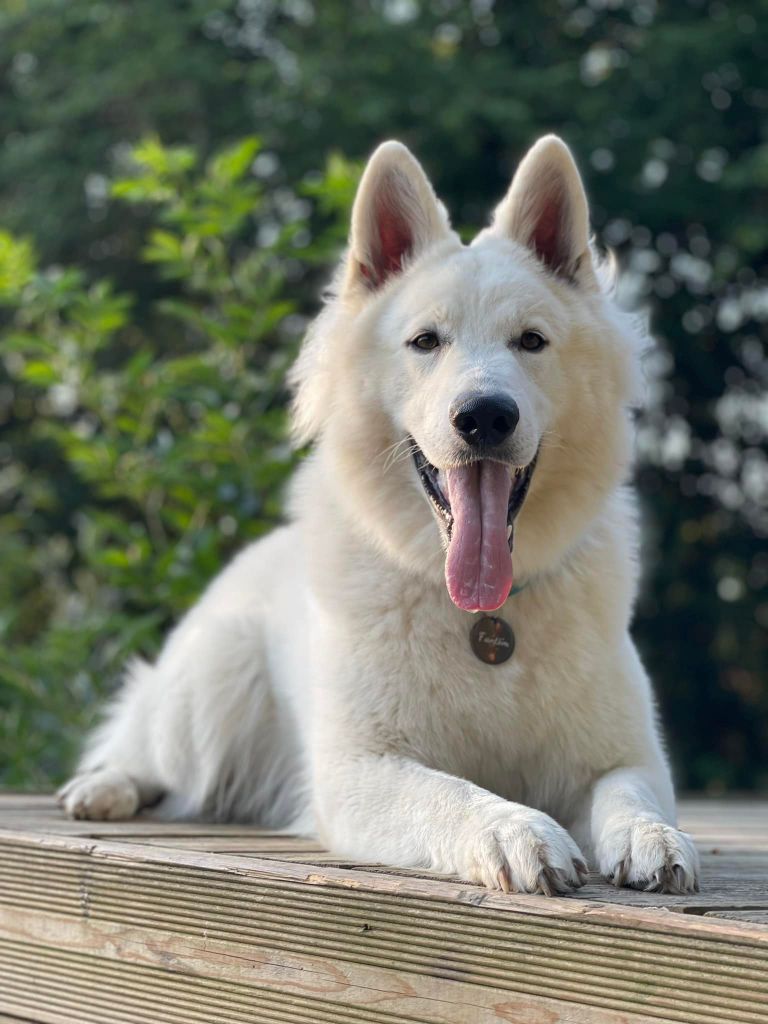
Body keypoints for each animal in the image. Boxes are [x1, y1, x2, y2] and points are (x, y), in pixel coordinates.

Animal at [57, 134, 700, 897]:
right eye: (425, 342)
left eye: (531, 341)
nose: (485, 416)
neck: (483, 616)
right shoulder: (359, 770)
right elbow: (450, 793)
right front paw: (515, 830)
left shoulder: (626, 756)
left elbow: (630, 794)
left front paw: (652, 837)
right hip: (209, 692)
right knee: (143, 744)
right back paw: (105, 787)